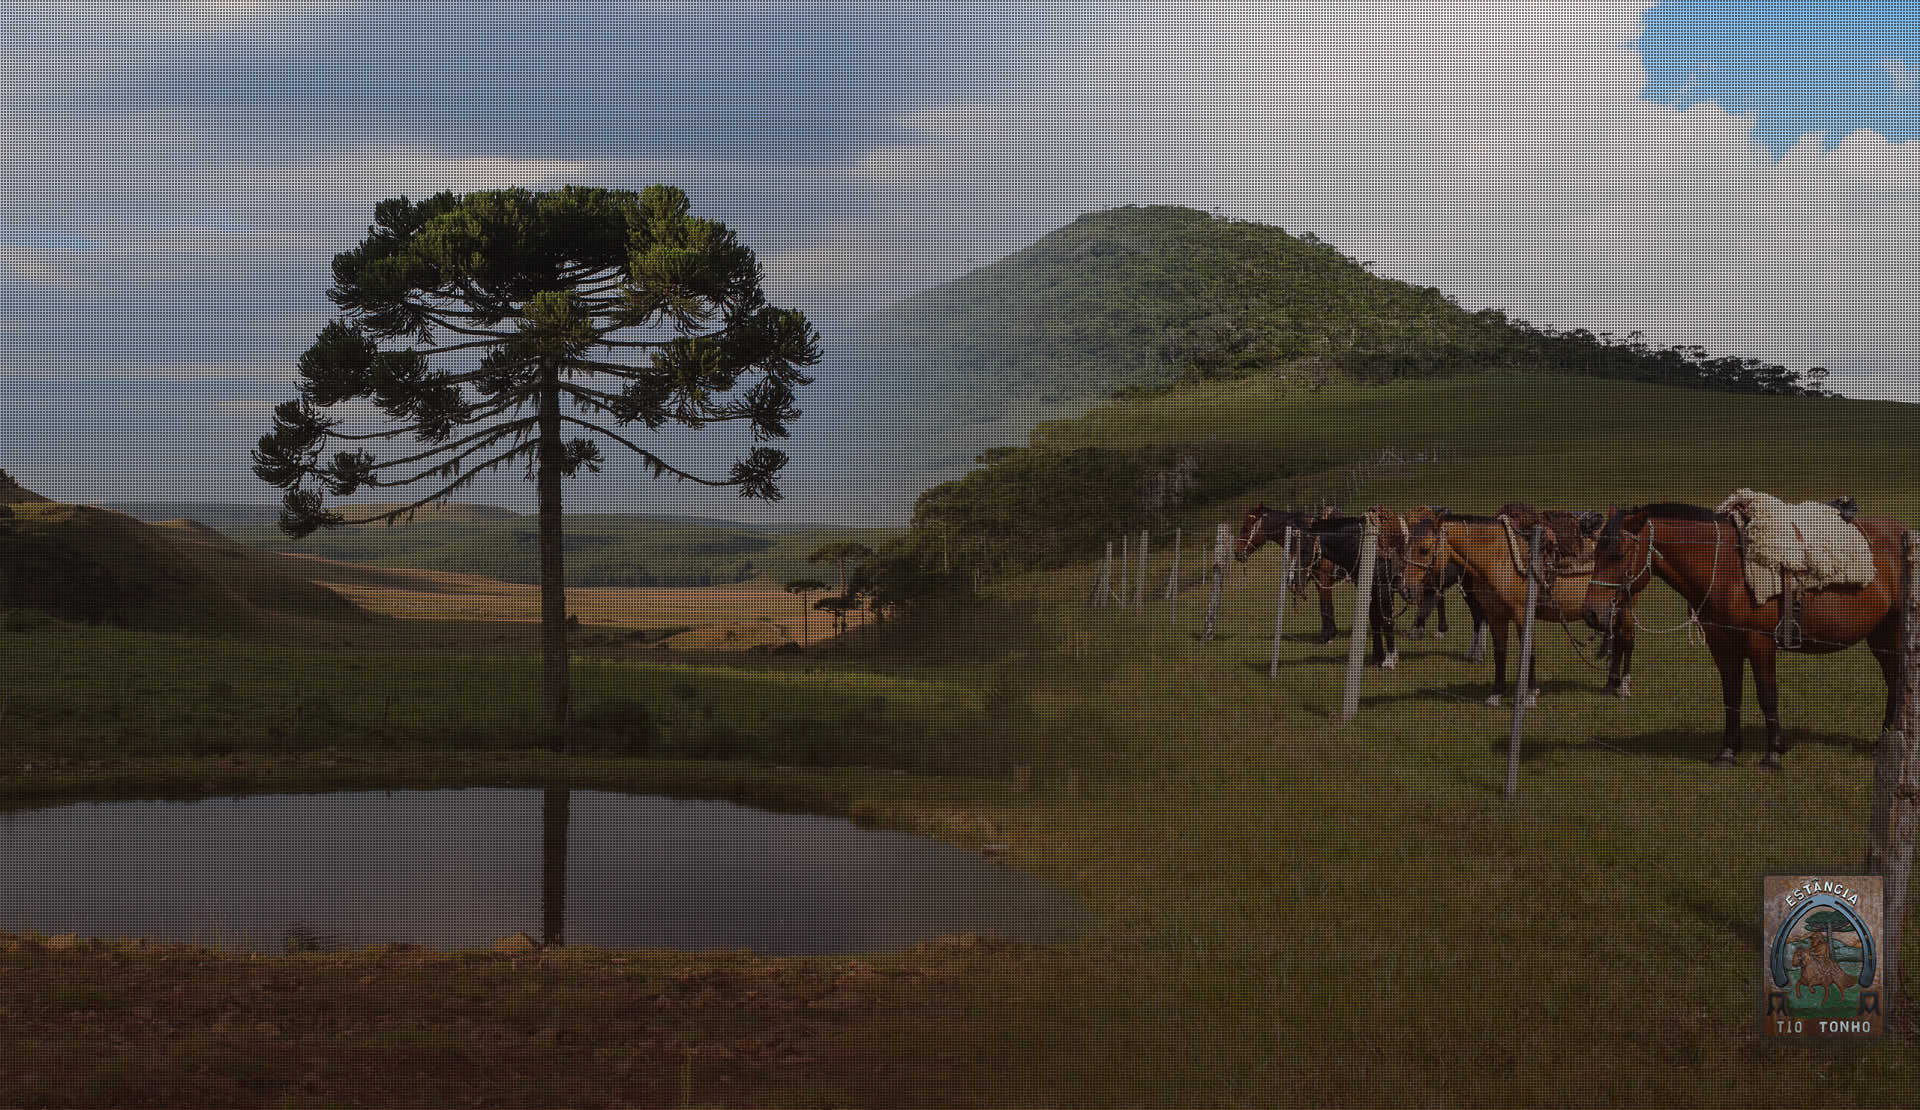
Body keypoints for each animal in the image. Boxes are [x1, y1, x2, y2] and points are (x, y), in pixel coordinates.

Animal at [1236, 503, 1405, 664]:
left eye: (1245, 528)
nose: (1237, 554)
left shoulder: (1324, 580)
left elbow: (1325, 608)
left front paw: (1327, 636)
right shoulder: (1320, 581)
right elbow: (1325, 607)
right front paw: (1330, 633)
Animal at [1397, 506, 1635, 699]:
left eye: (1424, 549)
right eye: (1406, 546)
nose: (1405, 589)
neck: (1497, 558)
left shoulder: (1522, 614)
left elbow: (1527, 649)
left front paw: (1530, 693)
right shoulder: (1495, 615)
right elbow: (1499, 652)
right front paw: (1496, 694)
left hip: (1624, 607)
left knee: (1627, 639)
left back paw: (1623, 687)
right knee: (1618, 639)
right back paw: (1609, 685)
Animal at [1574, 503, 1904, 768]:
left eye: (1618, 555)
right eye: (1595, 552)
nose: (1591, 613)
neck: (1728, 570)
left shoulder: (1759, 642)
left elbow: (1767, 696)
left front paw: (1773, 755)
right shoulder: (1723, 645)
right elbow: (1731, 696)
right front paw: (1727, 752)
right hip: (1882, 637)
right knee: (1895, 683)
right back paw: (1887, 741)